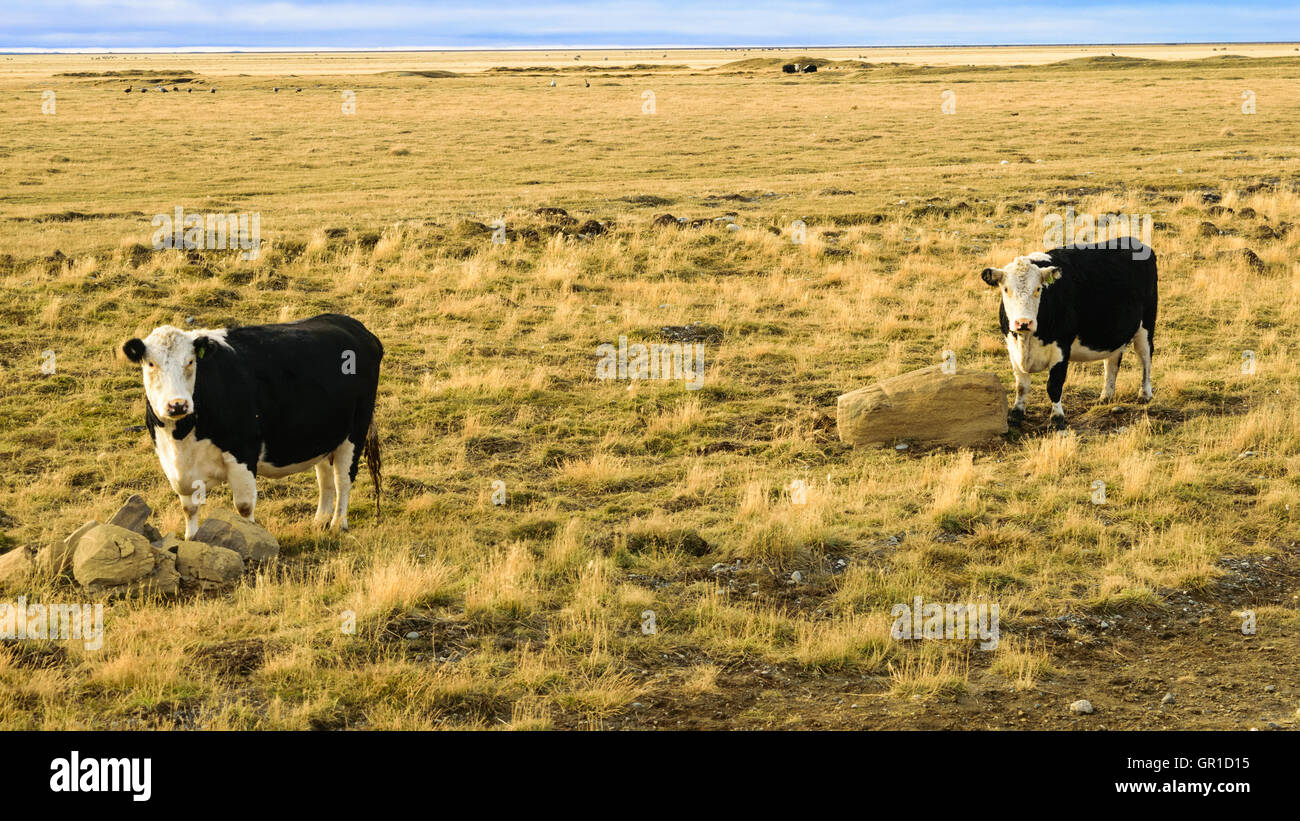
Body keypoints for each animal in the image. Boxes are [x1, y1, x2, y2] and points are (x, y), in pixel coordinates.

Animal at [122, 314, 383, 539]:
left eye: (190, 362)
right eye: (151, 364)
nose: (177, 405)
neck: (181, 437)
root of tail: (353, 325)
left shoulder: (243, 452)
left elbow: (244, 507)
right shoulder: (173, 463)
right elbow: (189, 507)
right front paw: (192, 539)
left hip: (355, 430)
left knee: (343, 478)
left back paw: (338, 524)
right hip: (324, 434)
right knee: (325, 476)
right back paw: (319, 520)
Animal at [980, 242, 1158, 430]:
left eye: (1038, 289)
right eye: (1006, 289)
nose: (1023, 322)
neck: (1027, 341)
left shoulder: (1061, 347)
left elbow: (1054, 385)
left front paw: (1057, 418)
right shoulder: (1012, 348)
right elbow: (1021, 385)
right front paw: (1016, 414)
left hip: (1146, 326)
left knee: (1145, 358)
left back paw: (1145, 394)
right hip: (1114, 335)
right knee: (1112, 363)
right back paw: (1105, 396)